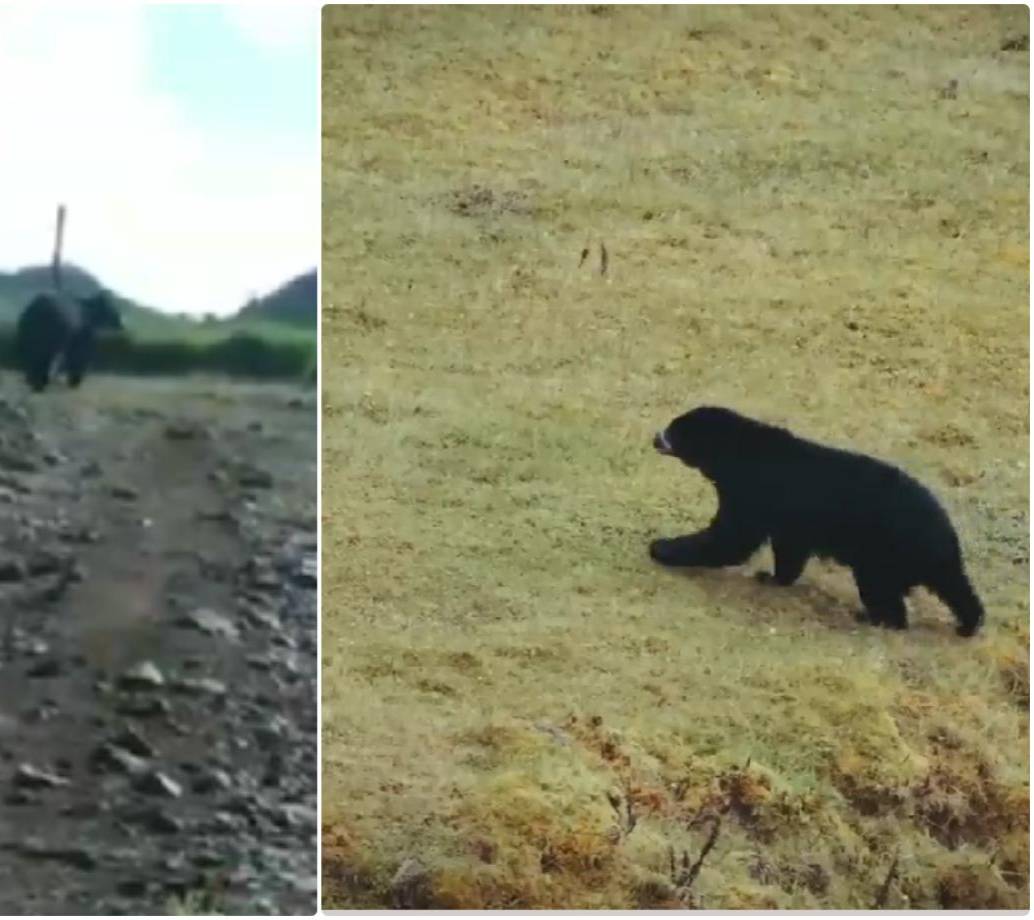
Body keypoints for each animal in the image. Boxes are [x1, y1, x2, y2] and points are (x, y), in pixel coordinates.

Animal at [648, 406, 985, 637]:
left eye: (675, 430)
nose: (655, 437)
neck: (738, 453)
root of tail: (945, 539)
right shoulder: (789, 519)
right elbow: (789, 550)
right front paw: (773, 577)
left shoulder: (752, 492)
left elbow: (731, 538)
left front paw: (662, 548)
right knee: (955, 590)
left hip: (882, 554)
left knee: (882, 592)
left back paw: (875, 619)